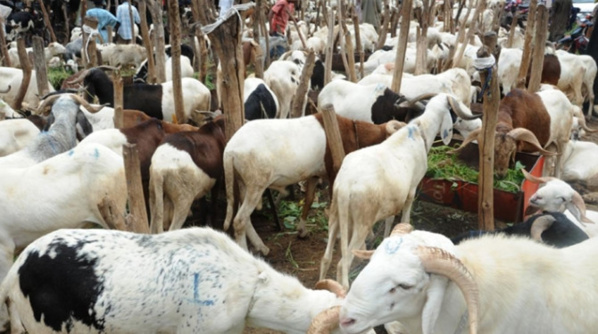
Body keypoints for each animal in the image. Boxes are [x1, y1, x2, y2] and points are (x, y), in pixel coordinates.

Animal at [318, 93, 482, 288]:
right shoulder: (411, 189)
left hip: (336, 214)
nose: (476, 122)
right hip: (361, 223)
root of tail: (345, 186)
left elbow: (390, 220)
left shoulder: (393, 199)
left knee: (326, 258)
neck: (420, 131)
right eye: (455, 110)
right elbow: (405, 218)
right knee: (343, 263)